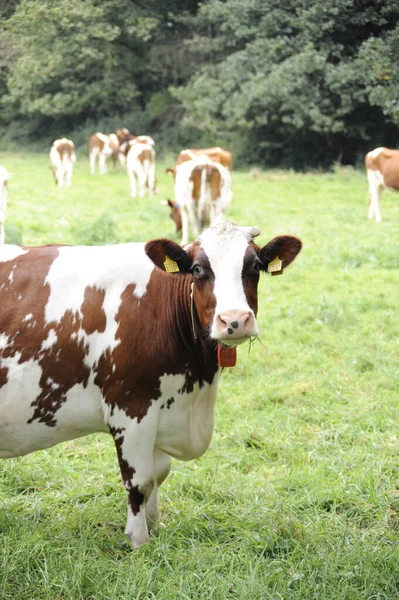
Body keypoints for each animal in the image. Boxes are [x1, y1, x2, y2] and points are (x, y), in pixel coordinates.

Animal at [0, 217, 302, 548]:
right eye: (198, 269)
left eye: (255, 266)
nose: (234, 320)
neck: (196, 389)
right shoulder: (131, 410)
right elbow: (140, 482)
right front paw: (139, 541)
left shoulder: (163, 409)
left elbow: (160, 473)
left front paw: (155, 527)